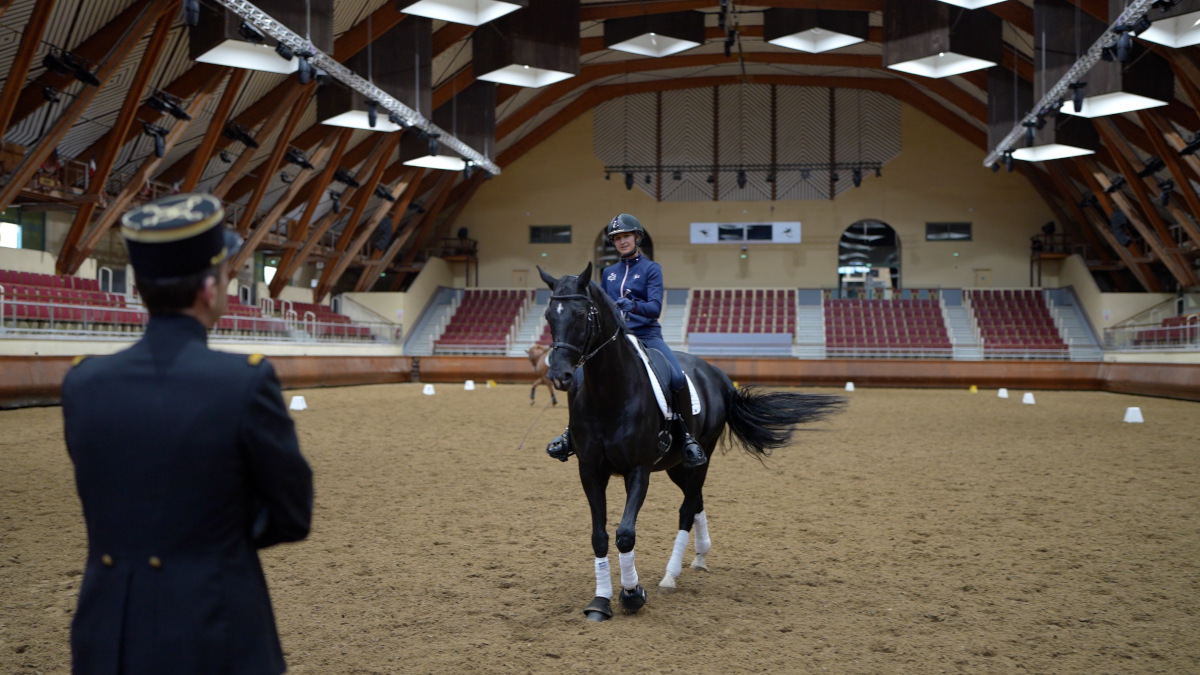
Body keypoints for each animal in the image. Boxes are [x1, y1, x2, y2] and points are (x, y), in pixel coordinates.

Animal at [540, 264, 849, 619]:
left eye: (580, 314)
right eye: (548, 315)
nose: (560, 376)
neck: (609, 393)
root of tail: (717, 375)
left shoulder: (638, 470)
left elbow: (625, 534)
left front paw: (632, 594)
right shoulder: (590, 470)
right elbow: (600, 536)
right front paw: (600, 601)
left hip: (701, 456)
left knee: (688, 507)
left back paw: (671, 575)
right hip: (677, 465)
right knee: (696, 498)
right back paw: (700, 556)